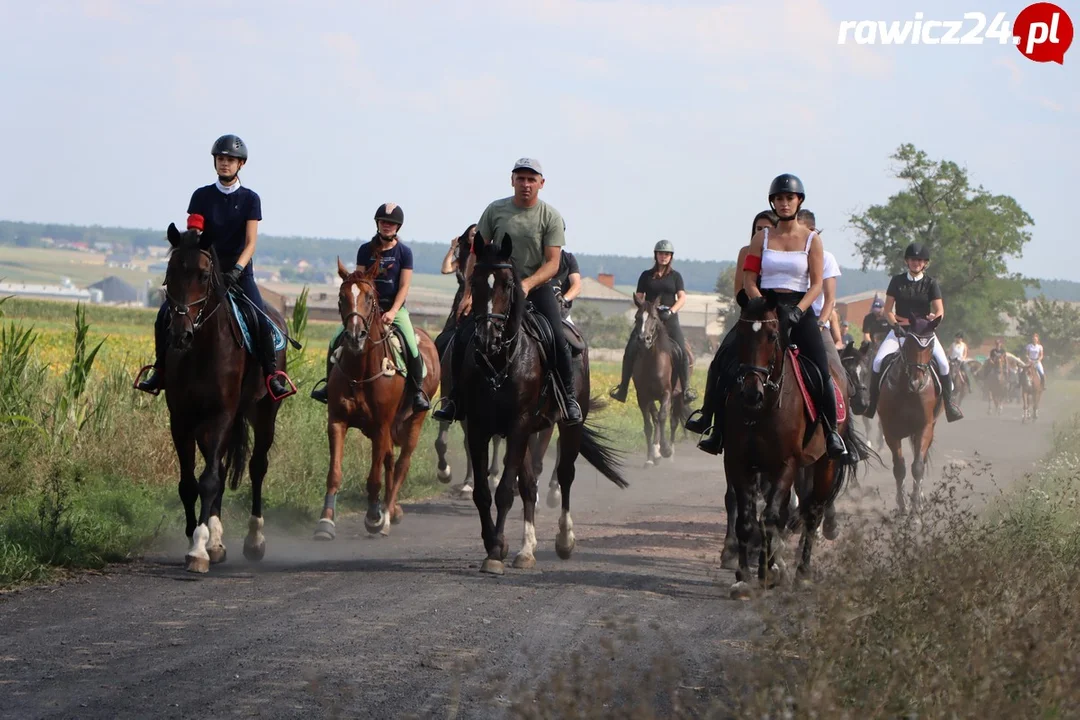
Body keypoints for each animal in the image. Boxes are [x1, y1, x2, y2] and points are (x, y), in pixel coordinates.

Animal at [150, 225, 291, 574]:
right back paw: (217, 540)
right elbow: (189, 483)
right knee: (225, 468)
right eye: (170, 273)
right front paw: (198, 537)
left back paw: (254, 541)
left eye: (203, 275)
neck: (202, 349)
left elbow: (210, 480)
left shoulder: (222, 415)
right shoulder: (182, 419)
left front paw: (198, 549)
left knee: (256, 467)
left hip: (263, 413)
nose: (180, 334)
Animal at [315, 259, 440, 539]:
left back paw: (386, 516)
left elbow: (374, 477)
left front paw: (373, 517)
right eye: (341, 297)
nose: (355, 336)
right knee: (390, 460)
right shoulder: (337, 421)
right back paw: (391, 511)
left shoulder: (381, 425)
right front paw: (326, 521)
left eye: (369, 298)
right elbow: (334, 473)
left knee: (402, 463)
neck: (360, 372)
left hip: (414, 420)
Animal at [457, 235, 630, 574]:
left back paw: (564, 540)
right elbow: (485, 492)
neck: (501, 361)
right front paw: (495, 544)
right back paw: (526, 549)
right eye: (476, 281)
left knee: (564, 475)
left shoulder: (519, 425)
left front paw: (495, 552)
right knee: (529, 484)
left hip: (566, 425)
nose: (487, 338)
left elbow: (504, 490)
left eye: (509, 284)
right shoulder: (479, 427)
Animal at [630, 297, 686, 468]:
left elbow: (662, 417)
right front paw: (650, 457)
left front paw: (665, 449)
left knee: (673, 421)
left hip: (679, 396)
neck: (651, 362)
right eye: (637, 317)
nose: (644, 340)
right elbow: (649, 425)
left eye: (654, 318)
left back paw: (670, 452)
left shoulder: (666, 393)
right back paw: (655, 453)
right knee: (655, 420)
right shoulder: (643, 396)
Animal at [876, 317, 946, 515]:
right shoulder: (890, 431)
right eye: (907, 344)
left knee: (921, 457)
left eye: (931, 346)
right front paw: (902, 506)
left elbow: (918, 466)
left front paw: (916, 507)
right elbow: (899, 468)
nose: (917, 383)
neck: (908, 391)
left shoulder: (924, 427)